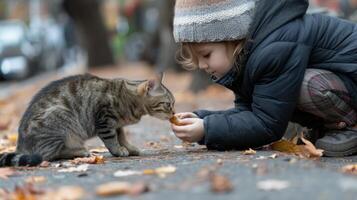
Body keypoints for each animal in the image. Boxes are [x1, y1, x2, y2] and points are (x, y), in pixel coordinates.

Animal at [0, 72, 175, 166]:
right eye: (168, 104)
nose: (174, 113)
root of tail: (20, 146)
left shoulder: (117, 124)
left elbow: (122, 137)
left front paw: (129, 148)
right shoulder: (105, 120)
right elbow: (112, 139)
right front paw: (118, 150)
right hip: (62, 120)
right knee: (48, 155)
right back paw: (79, 151)